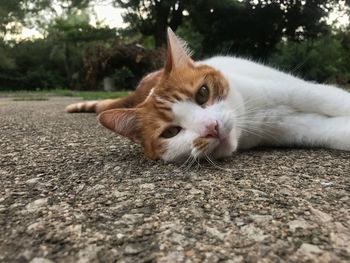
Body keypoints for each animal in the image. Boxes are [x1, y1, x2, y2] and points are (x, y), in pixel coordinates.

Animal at [66, 28, 350, 163]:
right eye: (171, 132)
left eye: (203, 93)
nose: (211, 128)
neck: (253, 116)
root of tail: (141, 85)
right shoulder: (294, 128)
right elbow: (334, 132)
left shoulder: (296, 91)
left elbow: (333, 99)